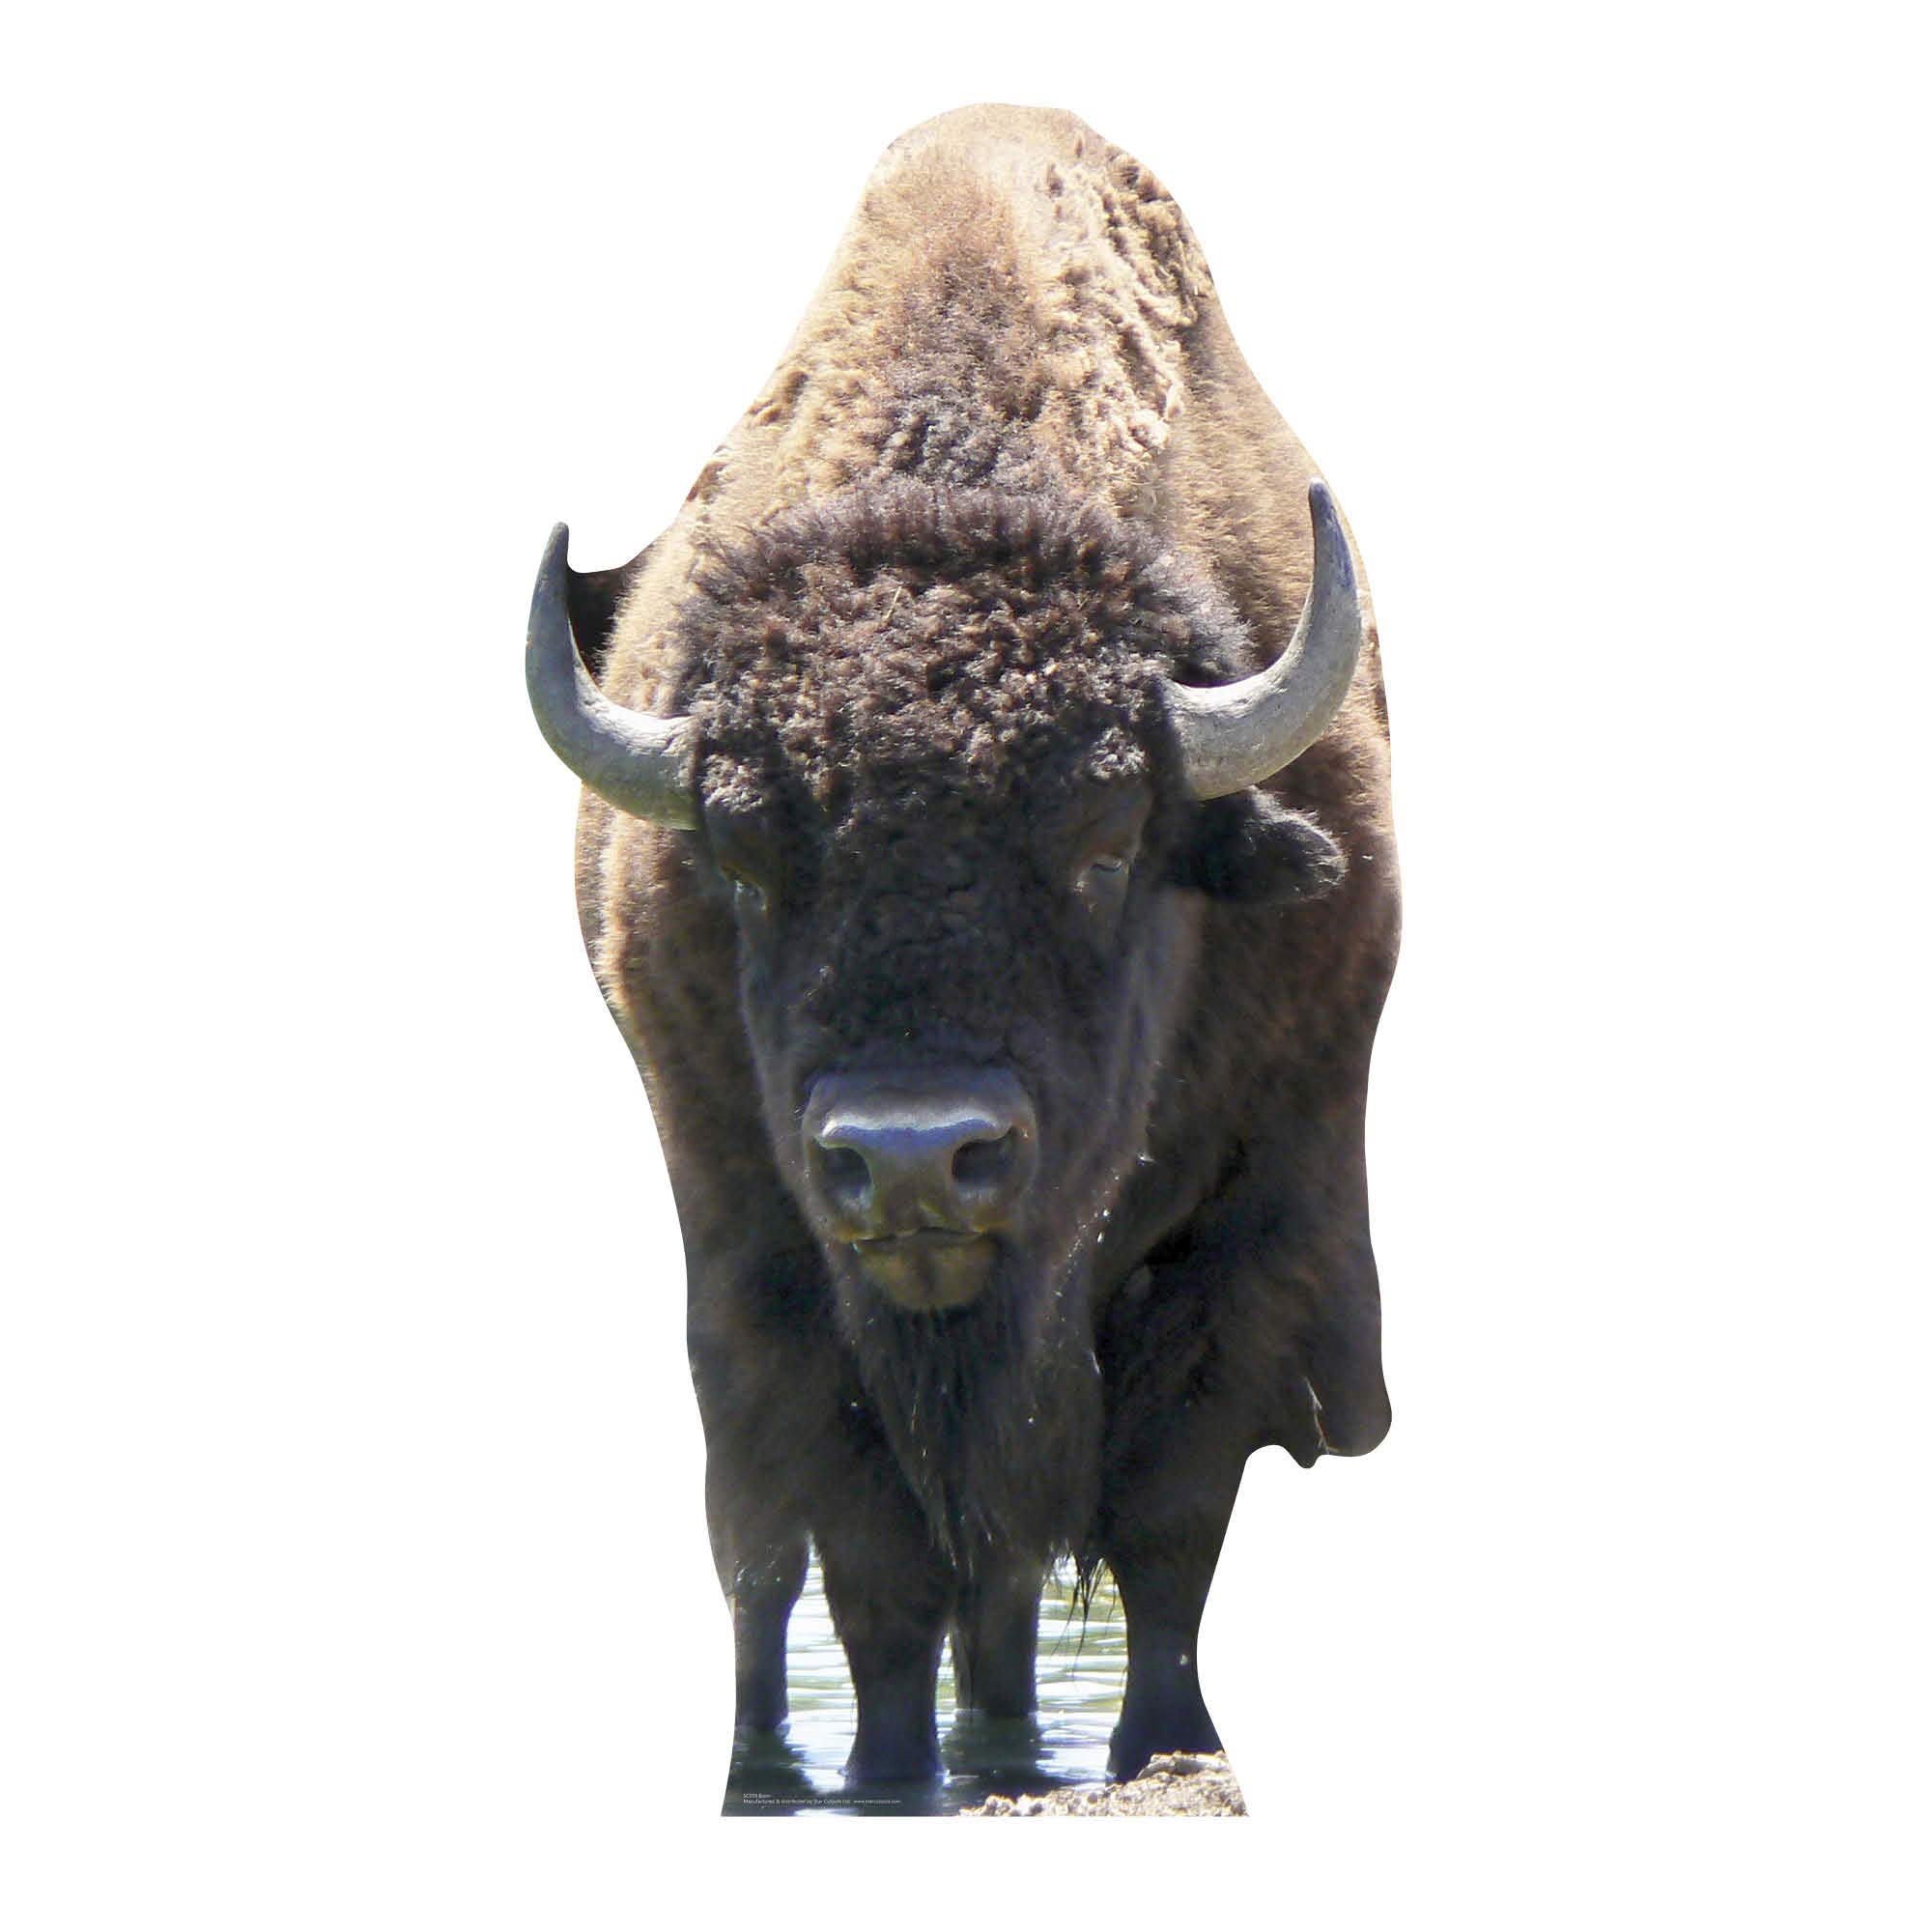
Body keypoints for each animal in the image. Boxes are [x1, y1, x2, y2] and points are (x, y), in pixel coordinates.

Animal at [526, 104, 1398, 1795]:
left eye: (1111, 838)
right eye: (745, 855)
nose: (916, 1159)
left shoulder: (1268, 1196)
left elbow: (1170, 1513)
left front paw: (1165, 1742)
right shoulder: (766, 1243)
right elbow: (864, 1555)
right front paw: (883, 1776)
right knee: (762, 1556)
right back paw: (773, 1766)